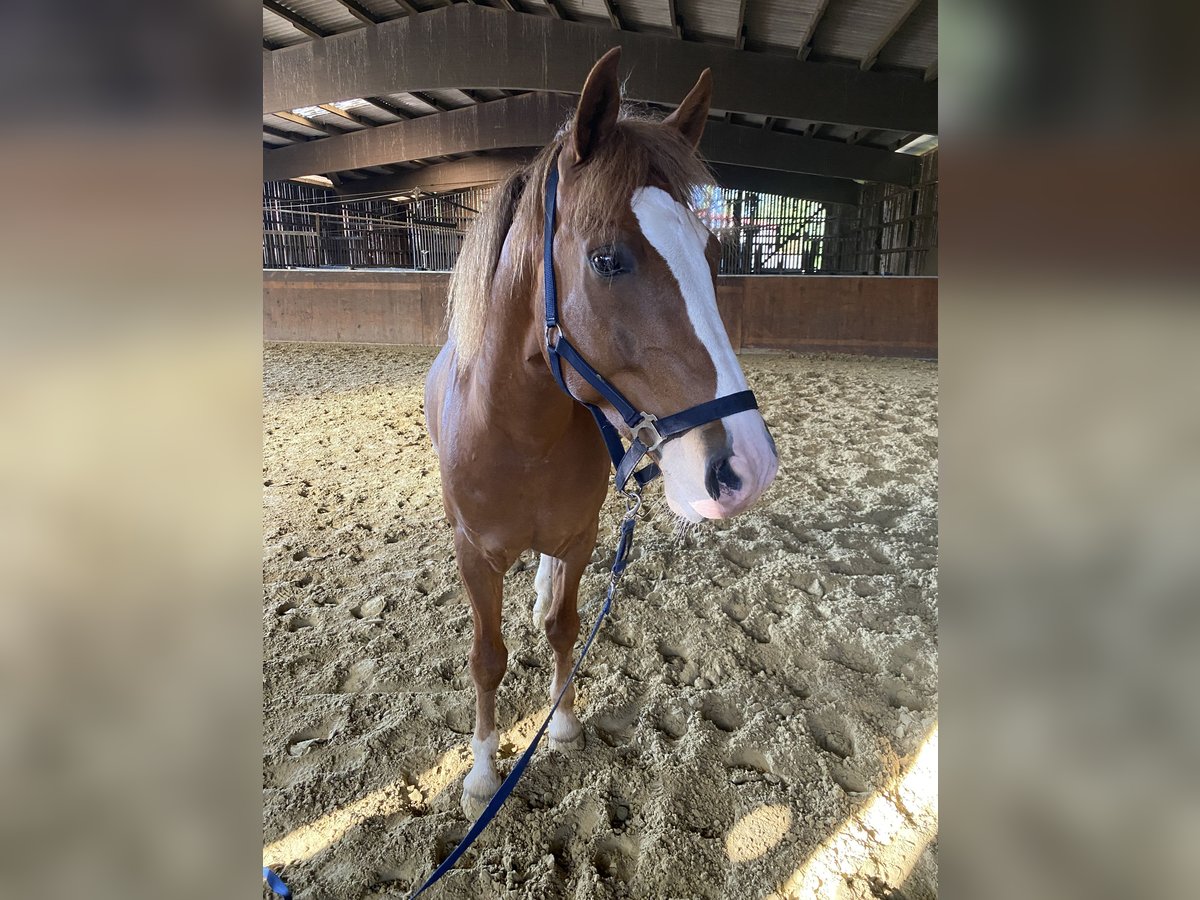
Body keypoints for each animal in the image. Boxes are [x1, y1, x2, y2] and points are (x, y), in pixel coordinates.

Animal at [427, 47, 782, 816]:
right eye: (607, 259)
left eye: (713, 255)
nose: (747, 466)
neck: (521, 437)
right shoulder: (474, 555)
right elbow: (486, 657)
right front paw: (481, 772)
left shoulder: (583, 535)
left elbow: (564, 626)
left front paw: (560, 723)